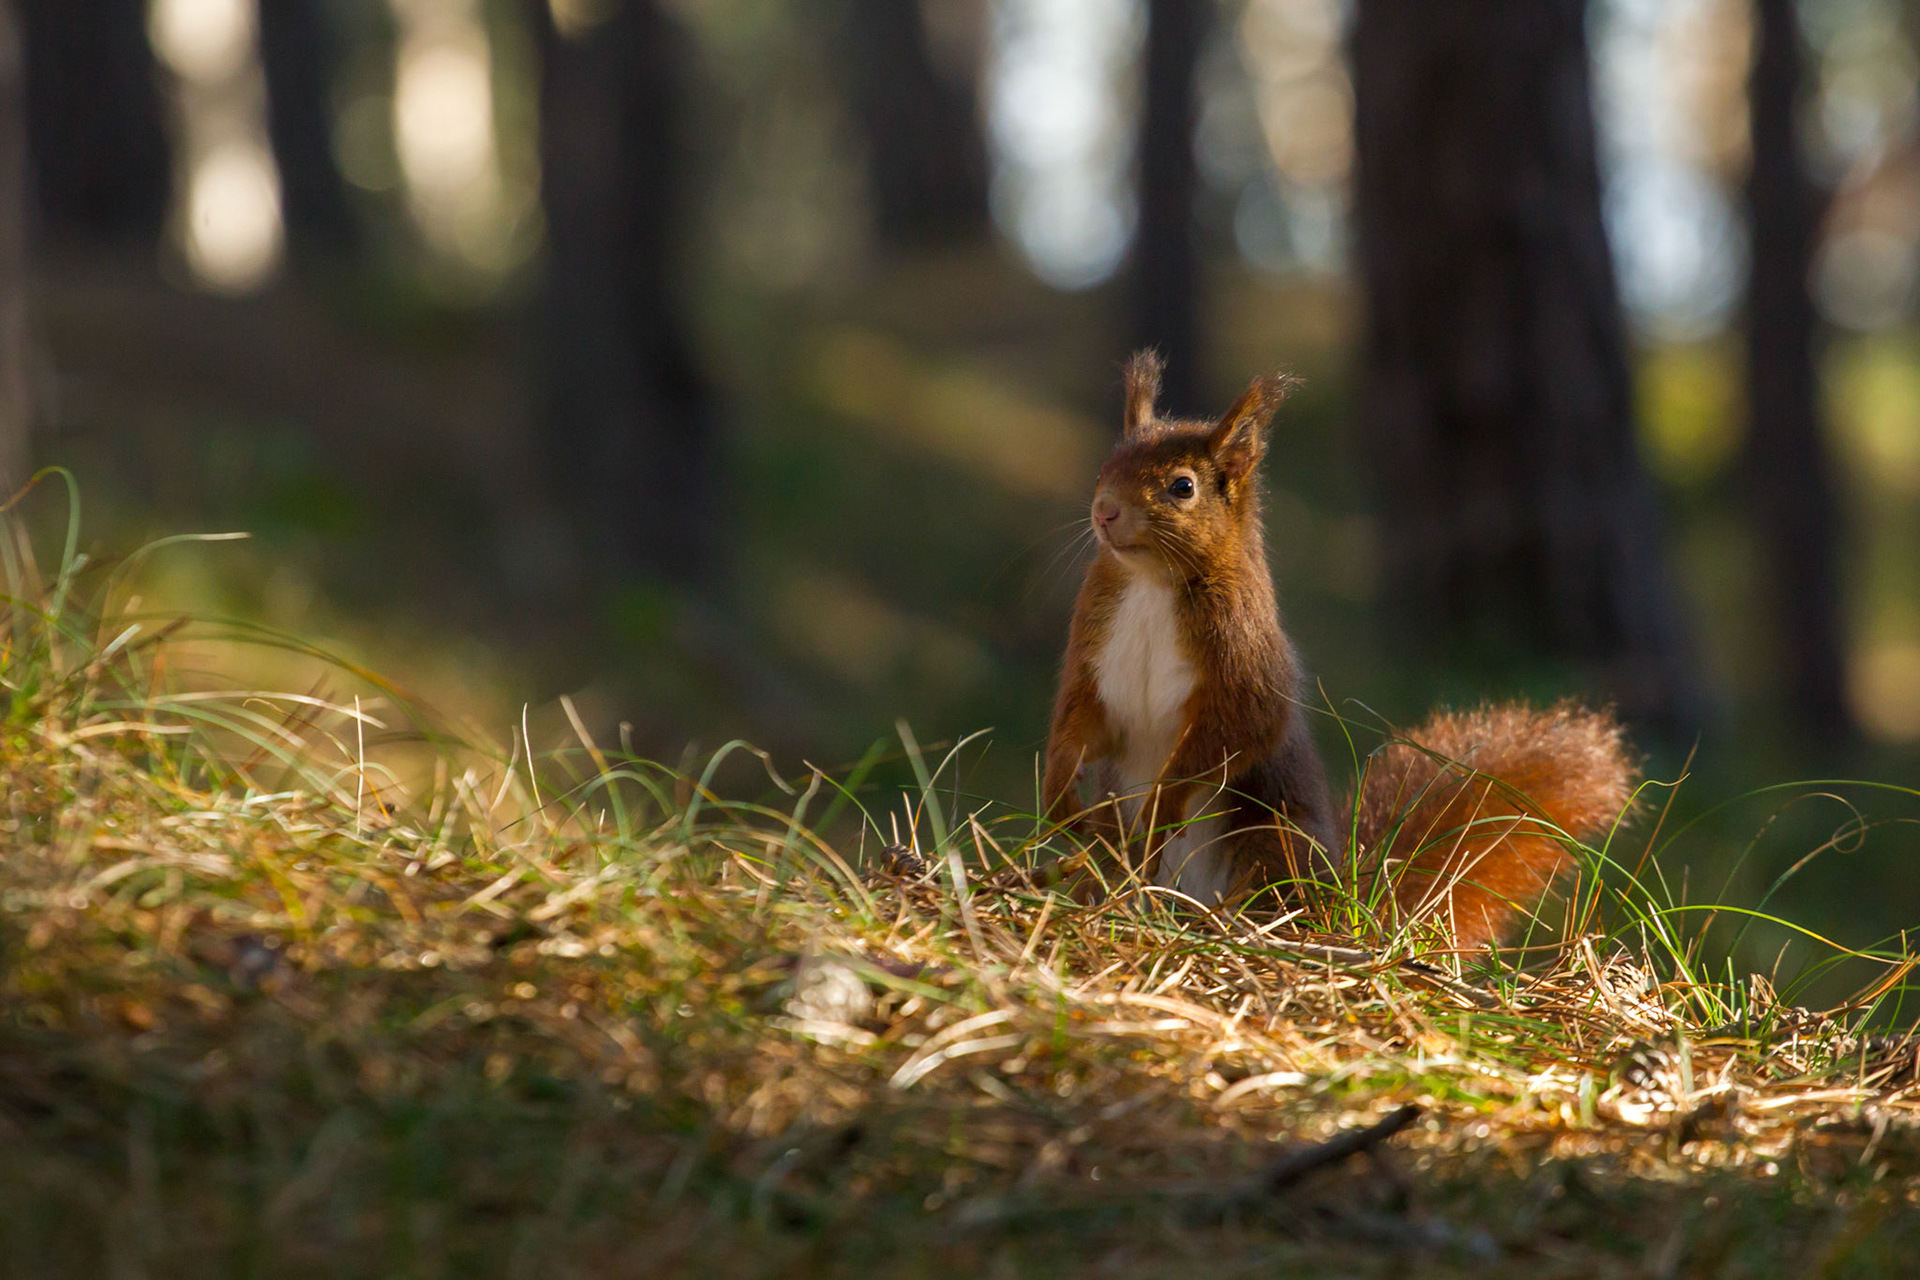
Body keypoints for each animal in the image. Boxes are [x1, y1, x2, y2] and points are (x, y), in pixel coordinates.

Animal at [1042, 351, 1637, 948]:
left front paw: (1163, 805)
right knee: (1108, 859)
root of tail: (1344, 905)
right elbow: (1080, 721)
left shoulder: (1242, 659)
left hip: (1273, 842)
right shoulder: (1094, 650)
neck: (1150, 583)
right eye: (1104, 468)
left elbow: (1233, 734)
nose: (1105, 511)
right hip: (1114, 831)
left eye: (1182, 487)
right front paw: (1058, 794)